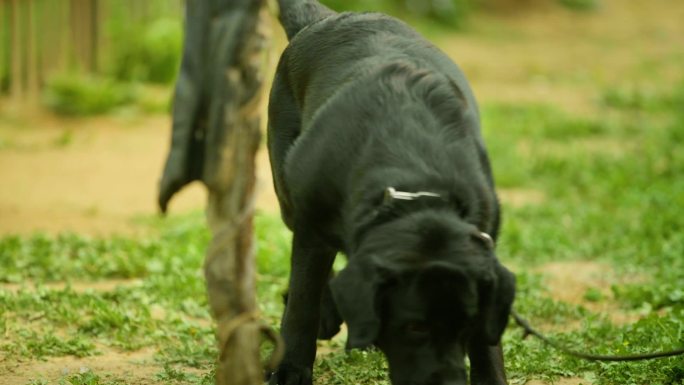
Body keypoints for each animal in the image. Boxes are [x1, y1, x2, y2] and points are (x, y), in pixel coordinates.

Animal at [266, 0, 512, 384]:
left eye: (465, 327)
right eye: (414, 327)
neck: (418, 186)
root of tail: (326, 17)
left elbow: (487, 345)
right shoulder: (312, 224)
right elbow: (302, 303)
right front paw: (290, 370)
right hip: (288, 193)